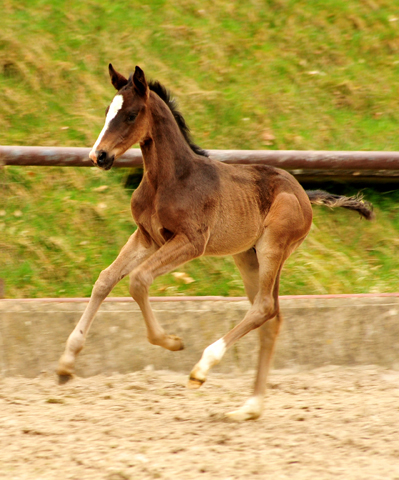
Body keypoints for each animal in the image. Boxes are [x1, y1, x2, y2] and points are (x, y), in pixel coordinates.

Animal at [57, 64, 376, 420]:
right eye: (107, 111)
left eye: (131, 114)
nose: (98, 155)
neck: (168, 179)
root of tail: (304, 194)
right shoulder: (146, 237)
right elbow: (105, 279)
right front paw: (66, 364)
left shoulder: (191, 242)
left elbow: (138, 280)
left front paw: (172, 342)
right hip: (247, 256)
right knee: (271, 317)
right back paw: (250, 408)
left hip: (273, 248)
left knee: (264, 307)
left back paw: (202, 369)